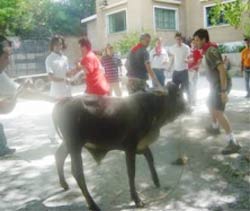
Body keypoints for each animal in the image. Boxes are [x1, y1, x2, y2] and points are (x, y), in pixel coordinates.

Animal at [54, 82, 188, 211]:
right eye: (177, 94)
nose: (187, 107)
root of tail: (65, 101)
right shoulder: (130, 146)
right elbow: (131, 172)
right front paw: (136, 199)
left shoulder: (140, 145)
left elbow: (150, 158)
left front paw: (156, 180)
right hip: (74, 144)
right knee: (77, 172)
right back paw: (93, 205)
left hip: (68, 143)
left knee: (59, 156)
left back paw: (64, 184)